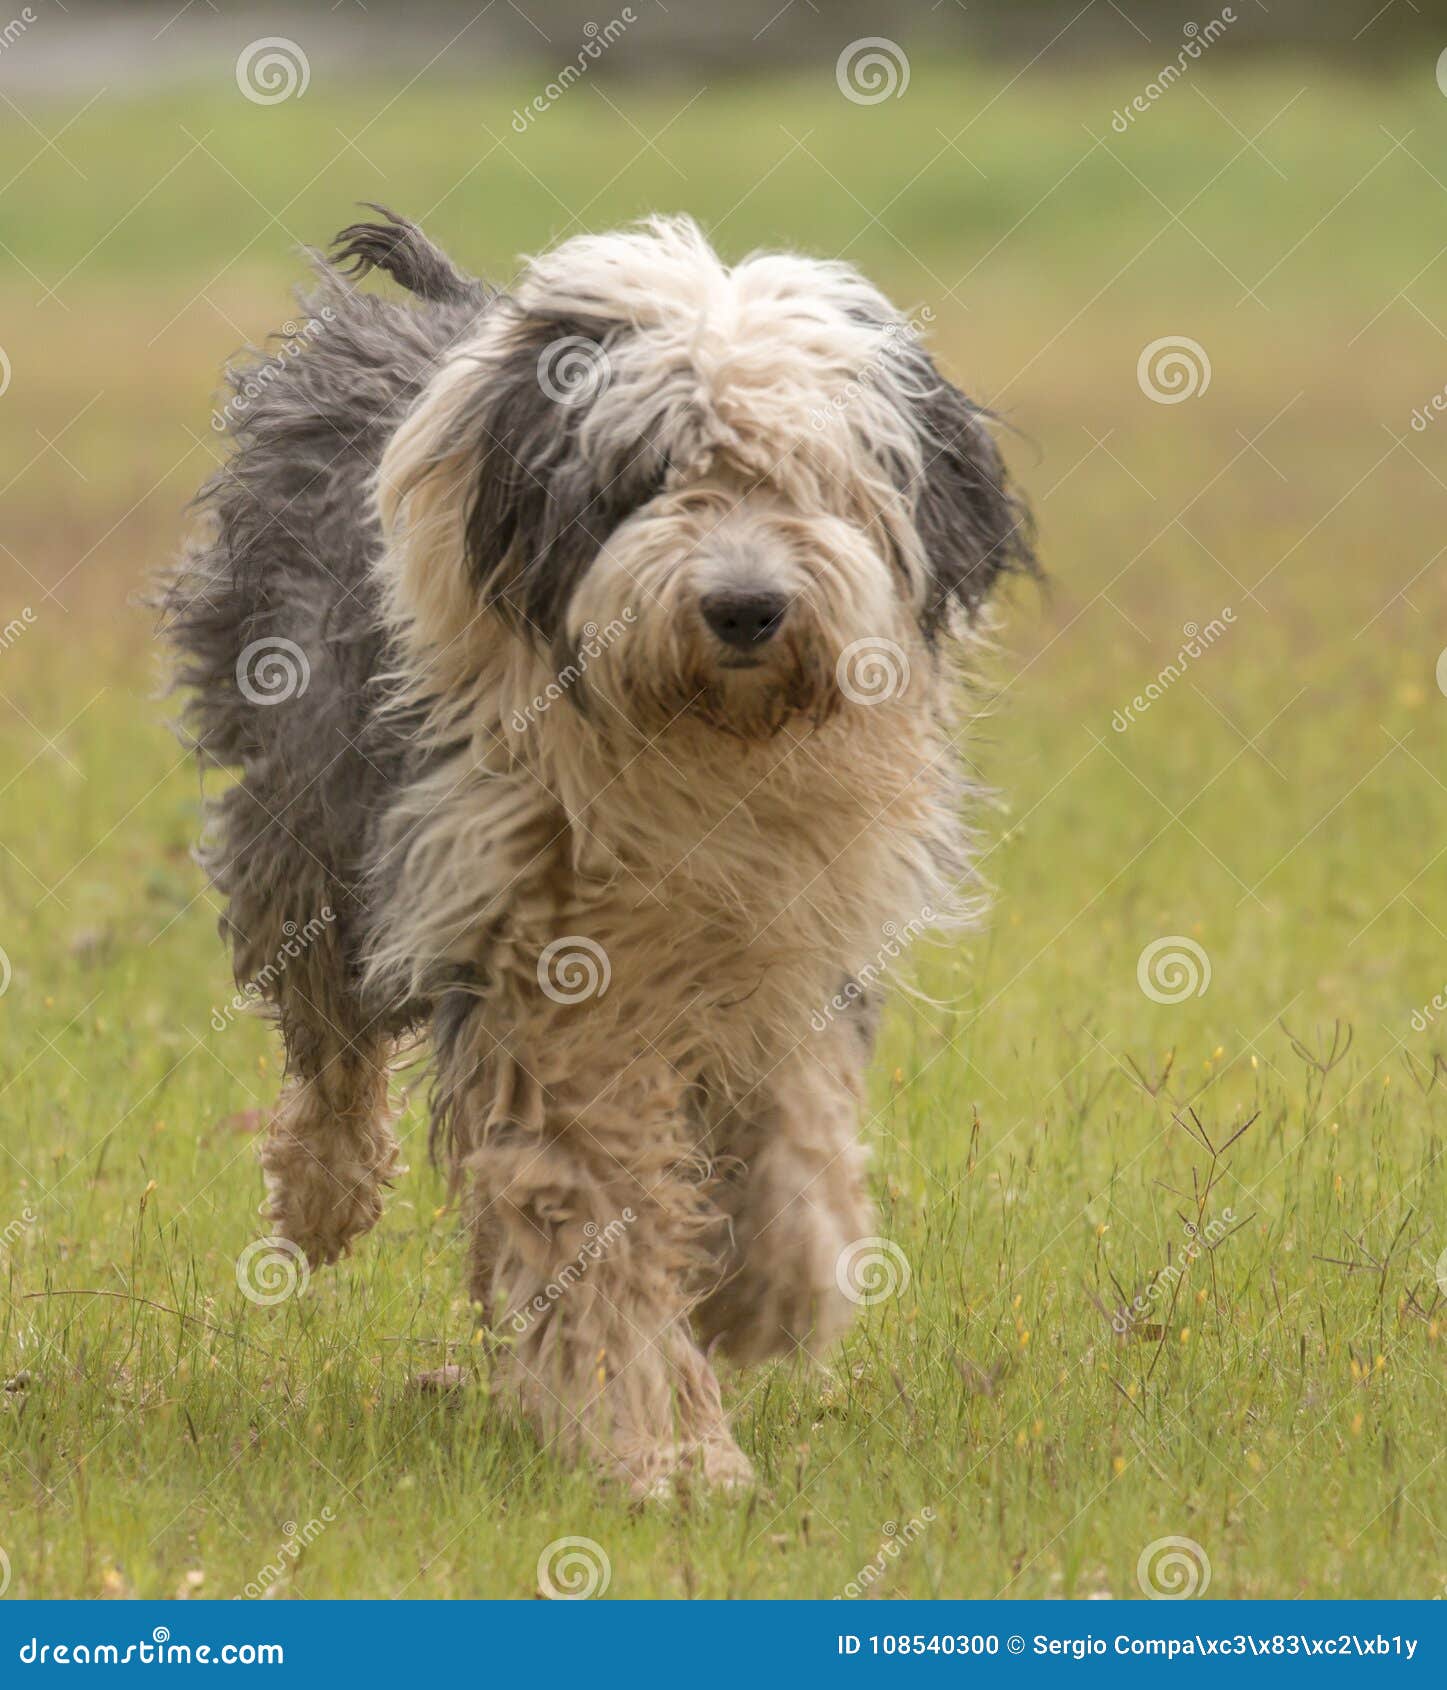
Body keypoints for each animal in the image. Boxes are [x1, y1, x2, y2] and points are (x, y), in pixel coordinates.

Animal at [161, 211, 1027, 1493]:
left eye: (807, 477)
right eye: (648, 476)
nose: (744, 608)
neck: (696, 747)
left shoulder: (794, 928)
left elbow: (797, 1123)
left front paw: (769, 1290)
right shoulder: (542, 956)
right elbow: (588, 1196)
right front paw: (656, 1445)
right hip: (306, 808)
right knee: (327, 1032)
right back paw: (321, 1196)